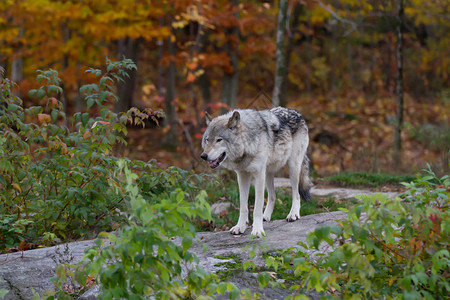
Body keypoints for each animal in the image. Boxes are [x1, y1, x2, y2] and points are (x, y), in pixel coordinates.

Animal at [201, 107, 312, 237]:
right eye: (207, 140)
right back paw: (266, 217)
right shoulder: (242, 175)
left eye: (219, 140)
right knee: (273, 196)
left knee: (296, 193)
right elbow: (243, 206)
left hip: (293, 168)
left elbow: (257, 207)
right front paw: (240, 227)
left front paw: (258, 230)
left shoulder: (258, 175)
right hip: (268, 173)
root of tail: (296, 112)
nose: (203, 156)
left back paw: (293, 214)